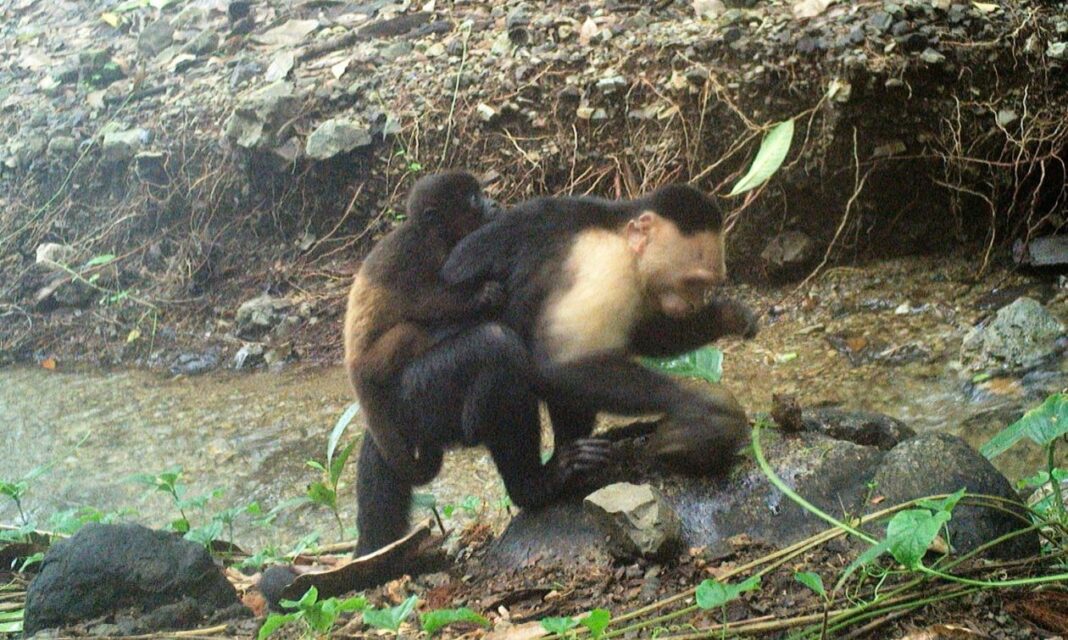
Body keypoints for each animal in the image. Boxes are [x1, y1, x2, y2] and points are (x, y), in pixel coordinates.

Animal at [348, 172, 613, 556]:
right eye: (473, 198)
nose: (492, 202)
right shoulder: (422, 255)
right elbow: (427, 298)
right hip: (405, 383)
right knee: (494, 344)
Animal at [441, 183, 759, 477]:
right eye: (693, 282)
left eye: (707, 285)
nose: (694, 305)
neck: (620, 233)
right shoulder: (606, 267)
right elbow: (562, 365)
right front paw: (702, 409)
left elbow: (645, 336)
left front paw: (729, 315)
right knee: (505, 351)